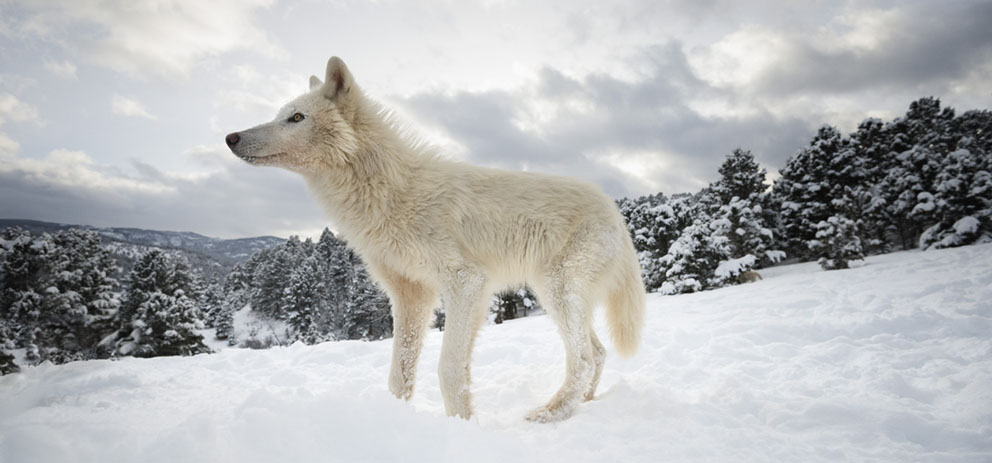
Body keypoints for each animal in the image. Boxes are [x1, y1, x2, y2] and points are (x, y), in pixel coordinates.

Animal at [228, 56, 648, 422]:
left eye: (296, 117)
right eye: (280, 114)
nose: (231, 136)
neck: (390, 192)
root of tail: (612, 209)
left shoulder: (466, 283)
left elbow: (449, 369)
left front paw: (461, 425)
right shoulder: (411, 296)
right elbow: (399, 374)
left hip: (556, 291)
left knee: (584, 359)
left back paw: (548, 415)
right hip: (557, 295)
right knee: (598, 352)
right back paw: (581, 406)